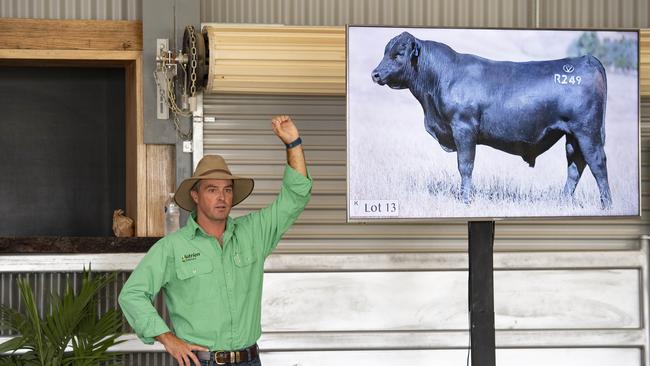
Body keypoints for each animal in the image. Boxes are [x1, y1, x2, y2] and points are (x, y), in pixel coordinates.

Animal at [370, 30, 608, 209]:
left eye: (399, 53)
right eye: (385, 51)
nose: (375, 74)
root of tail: (587, 59)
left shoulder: (463, 128)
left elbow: (465, 166)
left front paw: (466, 200)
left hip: (587, 132)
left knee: (597, 163)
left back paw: (606, 206)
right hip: (572, 136)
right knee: (575, 166)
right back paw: (562, 202)